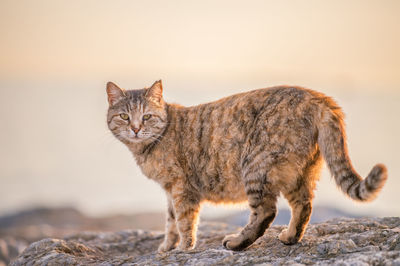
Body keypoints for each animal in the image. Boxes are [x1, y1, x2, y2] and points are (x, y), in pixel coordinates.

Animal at [106, 80, 388, 251]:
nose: (135, 128)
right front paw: (167, 247)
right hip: (300, 172)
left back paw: (238, 242)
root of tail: (318, 97)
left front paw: (184, 248)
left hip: (256, 167)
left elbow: (185, 221)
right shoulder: (169, 191)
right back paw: (290, 237)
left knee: (266, 212)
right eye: (124, 116)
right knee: (304, 205)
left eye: (146, 117)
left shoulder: (181, 188)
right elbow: (170, 221)